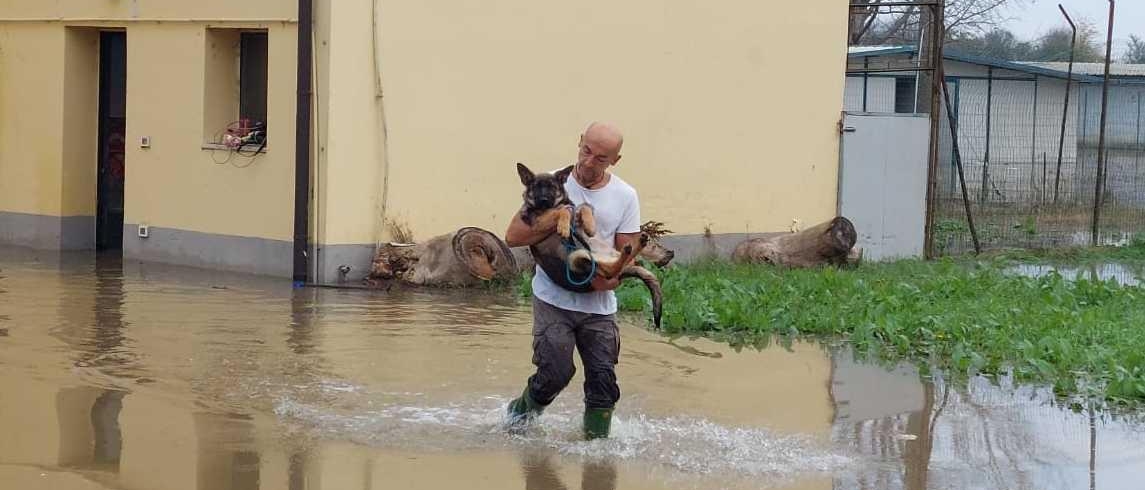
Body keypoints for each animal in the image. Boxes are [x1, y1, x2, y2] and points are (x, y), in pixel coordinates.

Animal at [517, 161, 668, 329]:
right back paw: (630, 250)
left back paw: (638, 244)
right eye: (536, 187)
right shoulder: (537, 221)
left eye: (552, 187)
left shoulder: (575, 208)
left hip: (599, 250)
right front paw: (563, 225)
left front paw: (589, 225)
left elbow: (583, 206)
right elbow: (561, 211)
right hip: (577, 258)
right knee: (610, 271)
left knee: (622, 264)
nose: (543, 200)